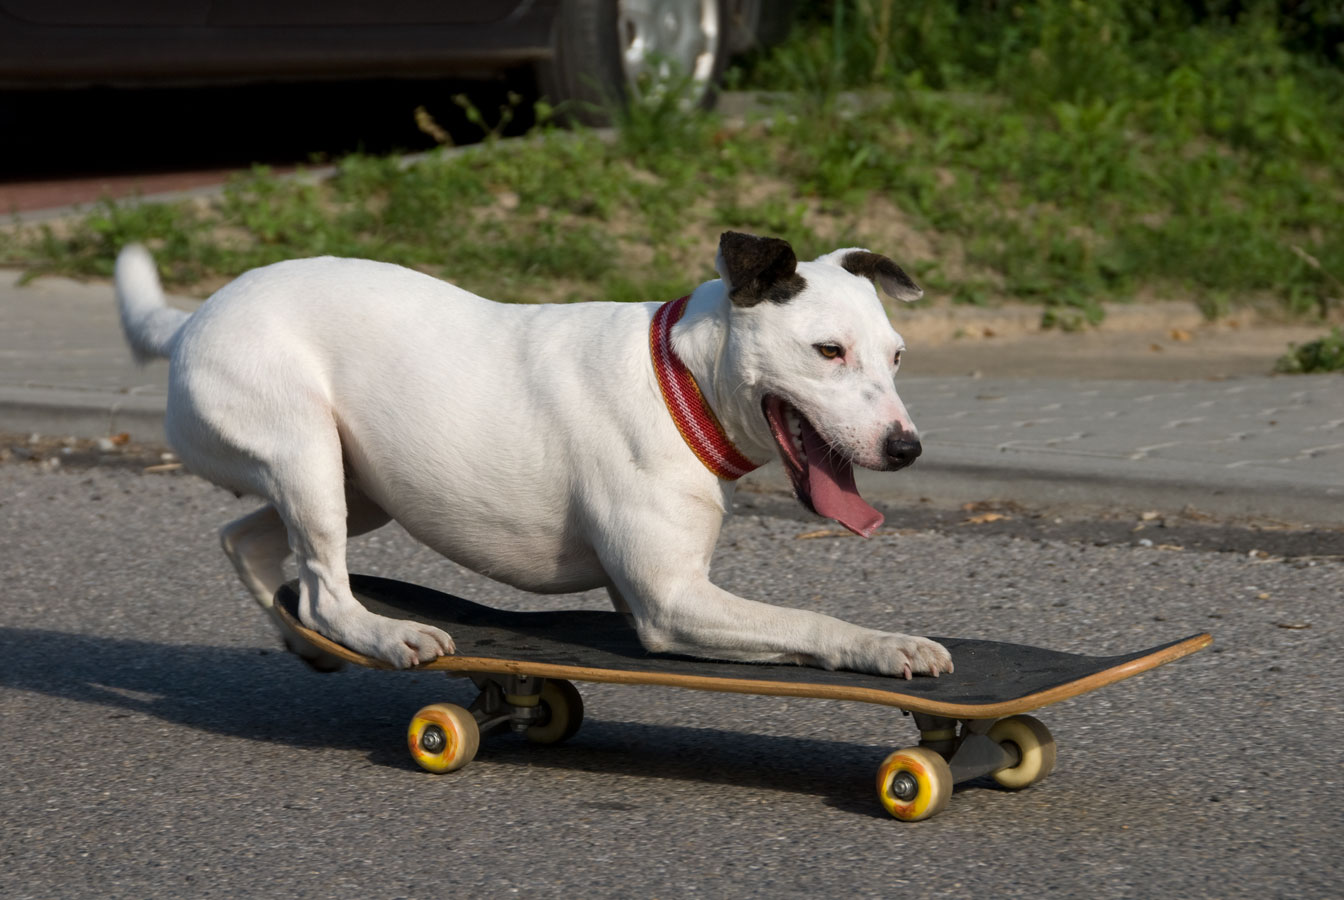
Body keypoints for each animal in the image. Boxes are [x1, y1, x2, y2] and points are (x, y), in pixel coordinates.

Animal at [118, 232, 956, 677]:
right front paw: (887, 646)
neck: (681, 378)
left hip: (357, 488)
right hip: (307, 455)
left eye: (897, 355)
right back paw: (383, 634)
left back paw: (303, 636)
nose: (906, 446)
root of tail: (189, 321)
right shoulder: (670, 605)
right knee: (323, 585)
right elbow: (809, 621)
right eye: (828, 351)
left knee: (248, 540)